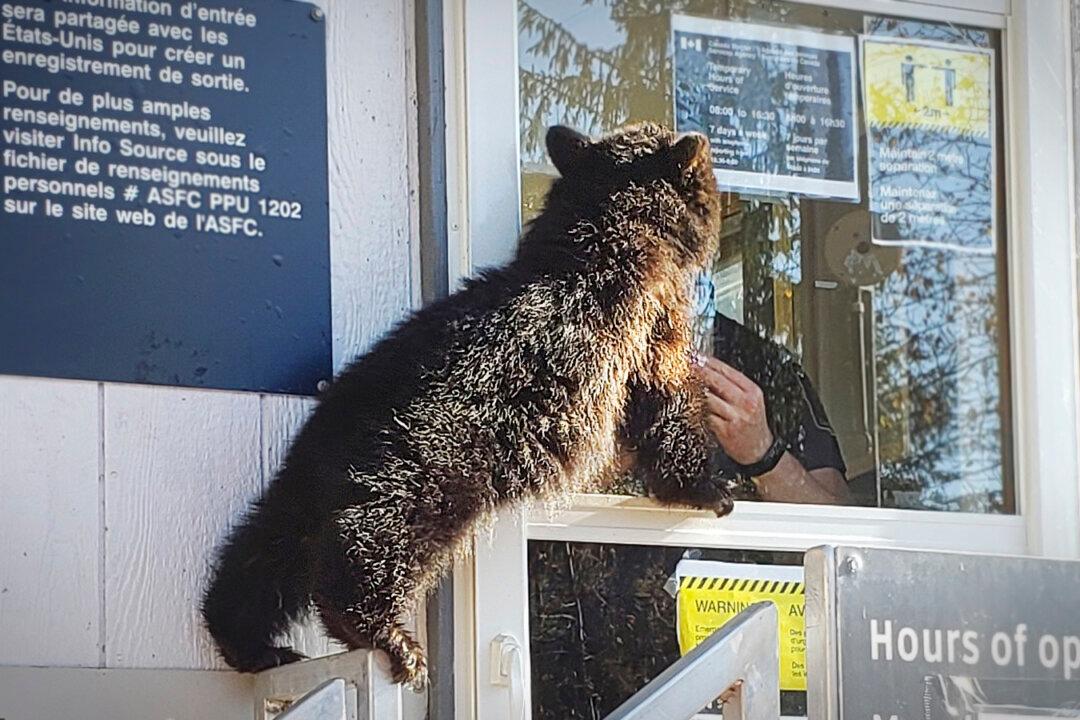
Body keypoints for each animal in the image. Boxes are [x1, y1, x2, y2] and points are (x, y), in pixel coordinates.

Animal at [201, 122, 736, 690]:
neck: (607, 233)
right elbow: (666, 404)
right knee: (372, 535)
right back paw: (387, 636)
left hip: (305, 473)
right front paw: (710, 487)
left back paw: (251, 642)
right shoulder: (649, 325)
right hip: (431, 464)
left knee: (266, 547)